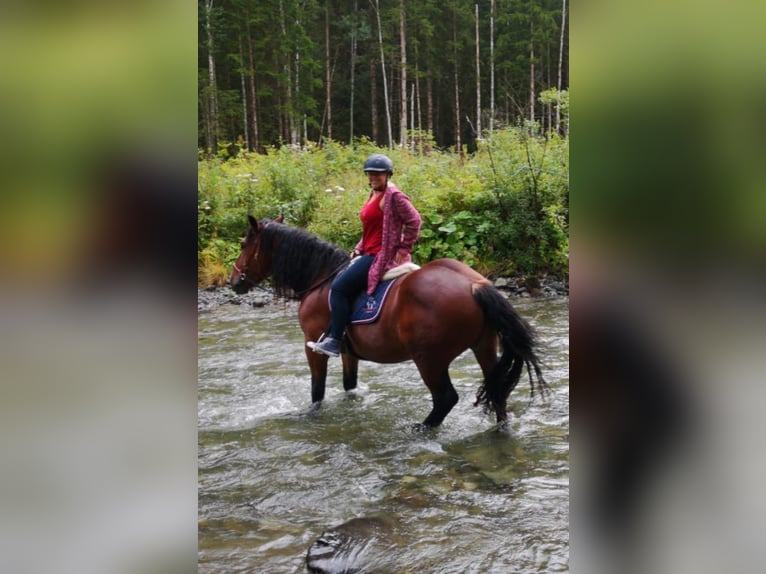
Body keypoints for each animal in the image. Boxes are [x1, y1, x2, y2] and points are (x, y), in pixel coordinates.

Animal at [228, 214, 544, 430]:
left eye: (243, 244)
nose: (233, 281)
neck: (320, 278)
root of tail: (475, 286)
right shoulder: (347, 351)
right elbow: (349, 385)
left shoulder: (313, 347)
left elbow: (317, 391)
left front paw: (310, 415)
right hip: (484, 347)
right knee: (497, 391)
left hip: (428, 358)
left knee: (445, 398)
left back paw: (420, 429)